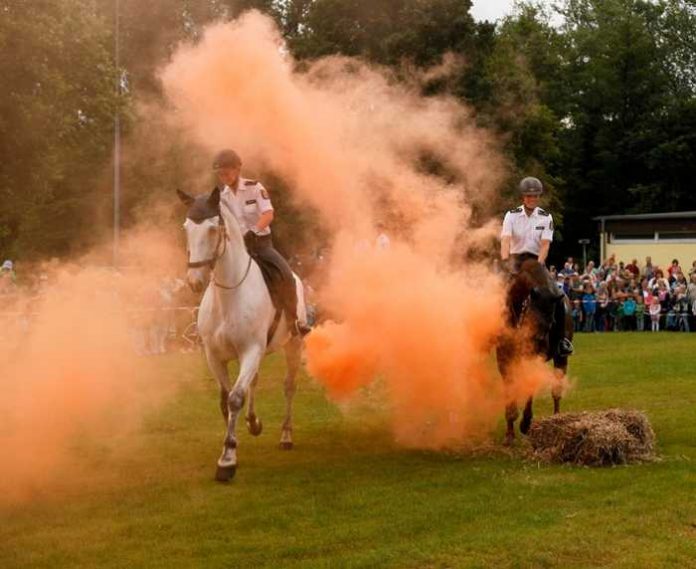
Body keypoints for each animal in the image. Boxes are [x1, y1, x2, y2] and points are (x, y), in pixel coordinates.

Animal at [177, 189, 304, 482]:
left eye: (213, 229)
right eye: (186, 227)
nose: (194, 282)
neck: (229, 295)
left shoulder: (250, 351)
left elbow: (235, 398)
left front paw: (227, 460)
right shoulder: (215, 357)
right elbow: (226, 400)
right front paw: (234, 443)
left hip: (292, 345)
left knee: (288, 387)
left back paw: (286, 435)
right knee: (254, 382)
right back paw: (253, 421)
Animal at [498, 258, 572, 444]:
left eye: (551, 321)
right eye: (531, 319)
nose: (537, 342)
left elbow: (530, 386)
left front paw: (525, 423)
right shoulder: (504, 359)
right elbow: (511, 388)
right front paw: (510, 432)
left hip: (561, 359)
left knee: (556, 391)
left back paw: (557, 419)